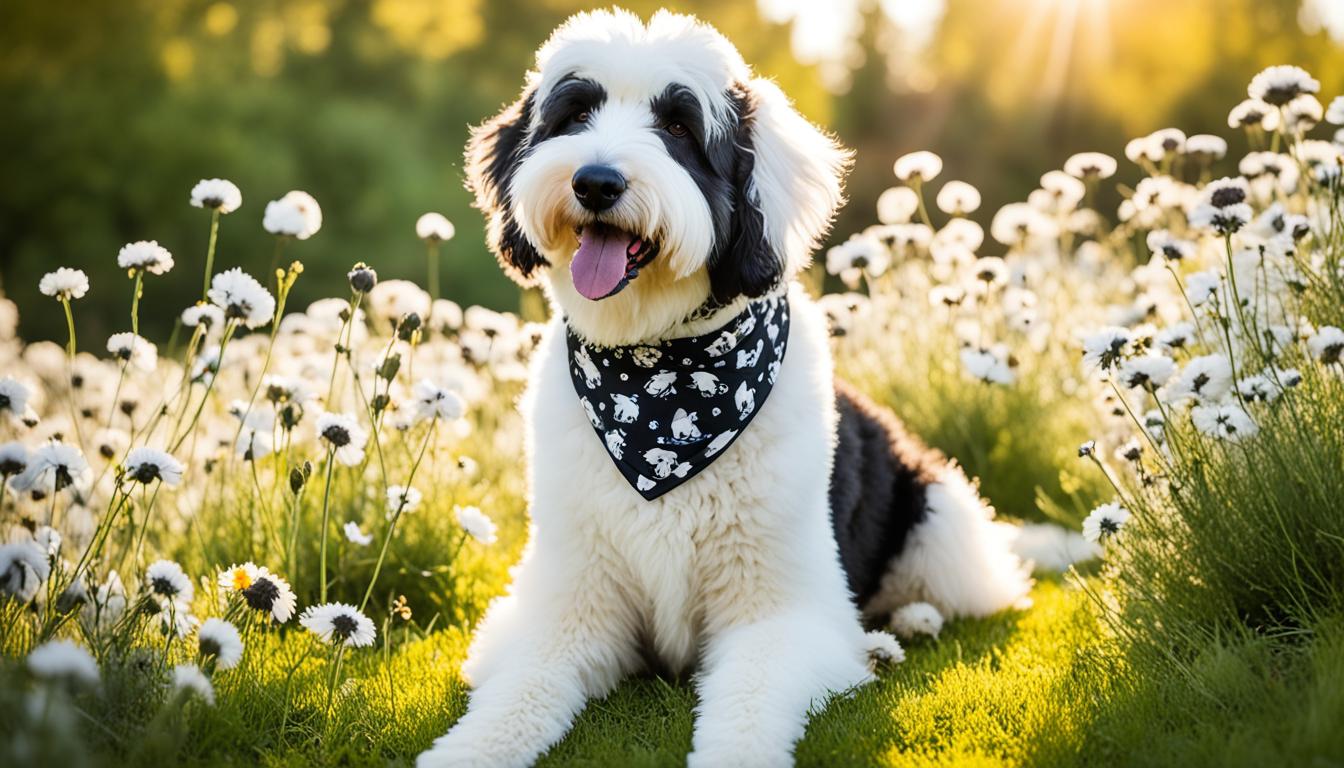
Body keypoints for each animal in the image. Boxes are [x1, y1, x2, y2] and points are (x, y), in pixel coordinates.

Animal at [419, 7, 1026, 768]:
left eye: (679, 127)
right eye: (576, 114)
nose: (594, 182)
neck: (658, 371)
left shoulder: (780, 610)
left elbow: (748, 700)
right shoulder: (568, 603)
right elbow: (520, 691)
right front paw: (468, 749)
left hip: (941, 515)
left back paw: (900, 629)